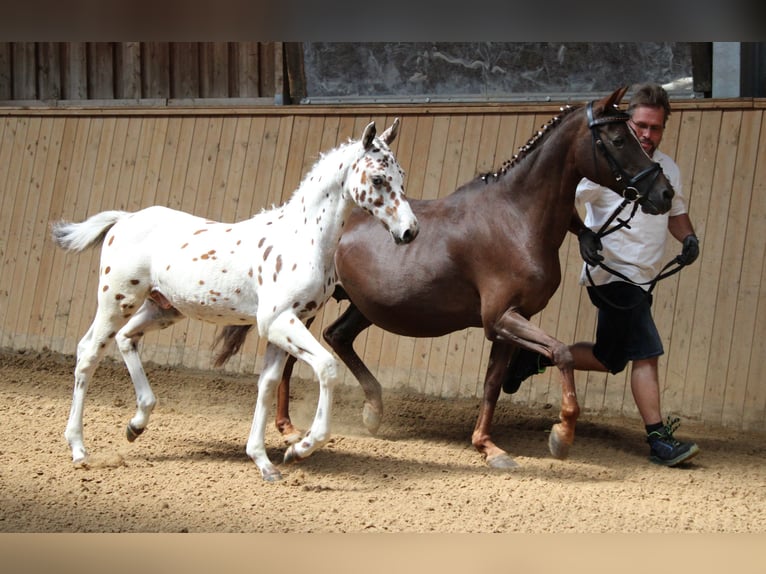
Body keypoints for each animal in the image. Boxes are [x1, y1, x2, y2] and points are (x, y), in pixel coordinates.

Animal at [49, 119, 420, 484]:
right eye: (377, 178)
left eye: (401, 175)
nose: (410, 231)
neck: (302, 239)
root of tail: (124, 219)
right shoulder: (278, 321)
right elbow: (326, 368)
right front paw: (299, 449)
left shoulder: (287, 325)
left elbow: (267, 384)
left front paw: (265, 462)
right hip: (117, 301)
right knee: (88, 353)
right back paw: (79, 449)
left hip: (163, 308)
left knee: (127, 339)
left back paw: (136, 424)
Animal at [214, 86, 672, 472]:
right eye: (619, 139)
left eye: (639, 133)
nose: (663, 193)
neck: (517, 219)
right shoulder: (501, 317)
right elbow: (560, 353)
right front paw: (562, 434)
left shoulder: (508, 322)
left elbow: (492, 383)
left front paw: (489, 446)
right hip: (305, 309)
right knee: (294, 359)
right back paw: (290, 429)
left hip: (363, 306)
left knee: (336, 338)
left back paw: (372, 410)